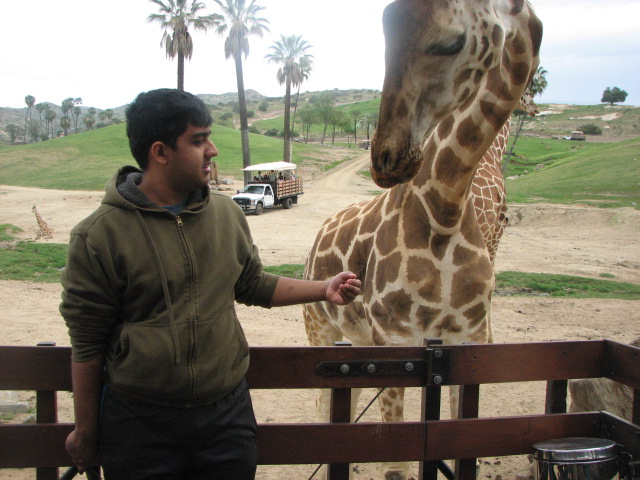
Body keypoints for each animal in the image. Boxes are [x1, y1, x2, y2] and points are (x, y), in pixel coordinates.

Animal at [303, 1, 542, 478]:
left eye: (450, 42)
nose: (385, 158)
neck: (444, 213)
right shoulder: (395, 340)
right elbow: (395, 464)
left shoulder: (468, 340)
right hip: (319, 328)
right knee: (322, 404)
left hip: (357, 337)